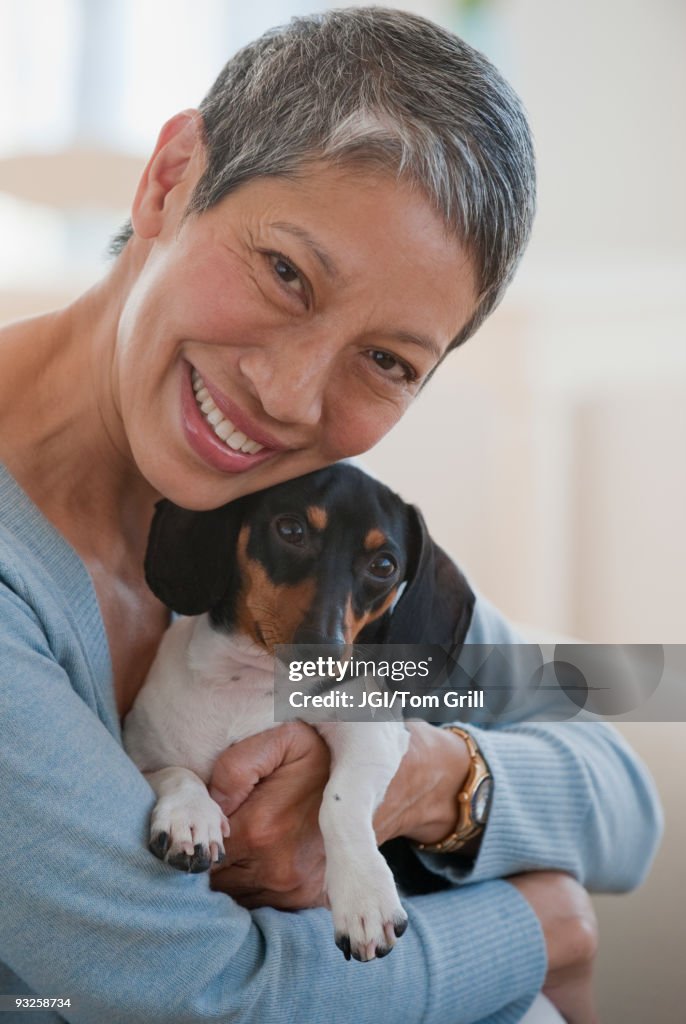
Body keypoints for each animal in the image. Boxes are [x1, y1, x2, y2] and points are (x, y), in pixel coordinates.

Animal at [123, 462, 475, 958]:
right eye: (291, 529)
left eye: (384, 565)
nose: (323, 647)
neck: (256, 683)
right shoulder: (139, 747)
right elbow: (176, 772)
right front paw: (191, 817)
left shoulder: (373, 733)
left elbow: (339, 802)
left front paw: (364, 896)